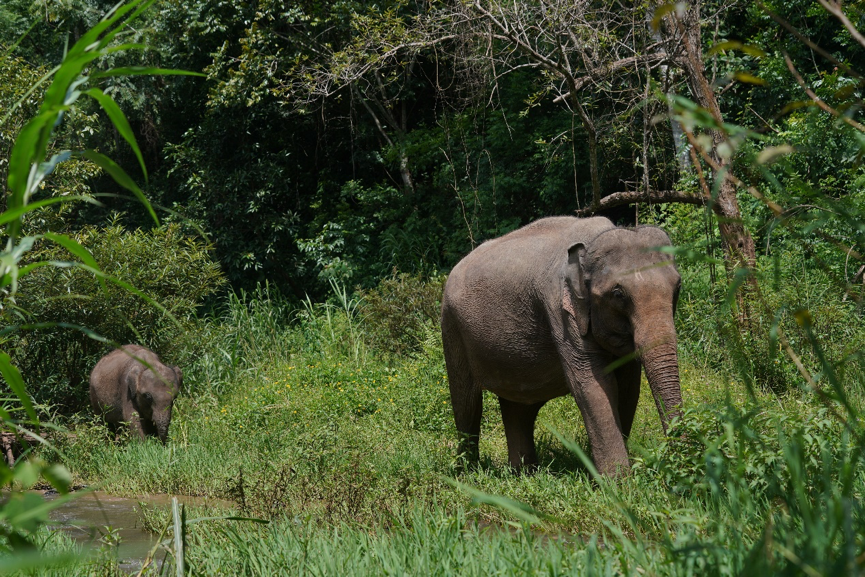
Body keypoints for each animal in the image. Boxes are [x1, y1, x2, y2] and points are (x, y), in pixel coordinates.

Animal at [442, 214, 684, 474]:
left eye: (677, 287)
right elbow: (594, 384)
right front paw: (617, 480)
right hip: (451, 328)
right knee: (467, 403)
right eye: (618, 294)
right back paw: (467, 472)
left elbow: (628, 385)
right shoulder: (561, 310)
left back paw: (524, 472)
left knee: (519, 407)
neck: (592, 242)